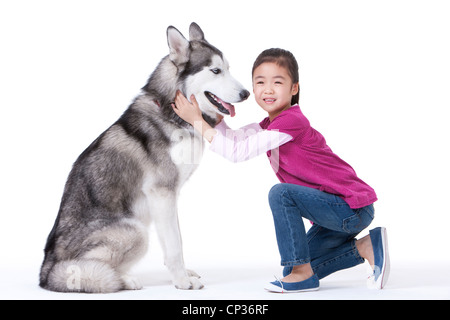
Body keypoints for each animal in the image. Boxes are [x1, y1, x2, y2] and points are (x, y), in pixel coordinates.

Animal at [38, 22, 250, 292]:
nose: (246, 93)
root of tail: (46, 271)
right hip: (136, 231)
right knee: (87, 271)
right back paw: (124, 279)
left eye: (228, 68)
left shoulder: (169, 196)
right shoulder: (162, 192)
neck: (172, 113)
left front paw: (181, 273)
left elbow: (176, 240)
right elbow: (174, 244)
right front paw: (181, 281)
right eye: (215, 70)